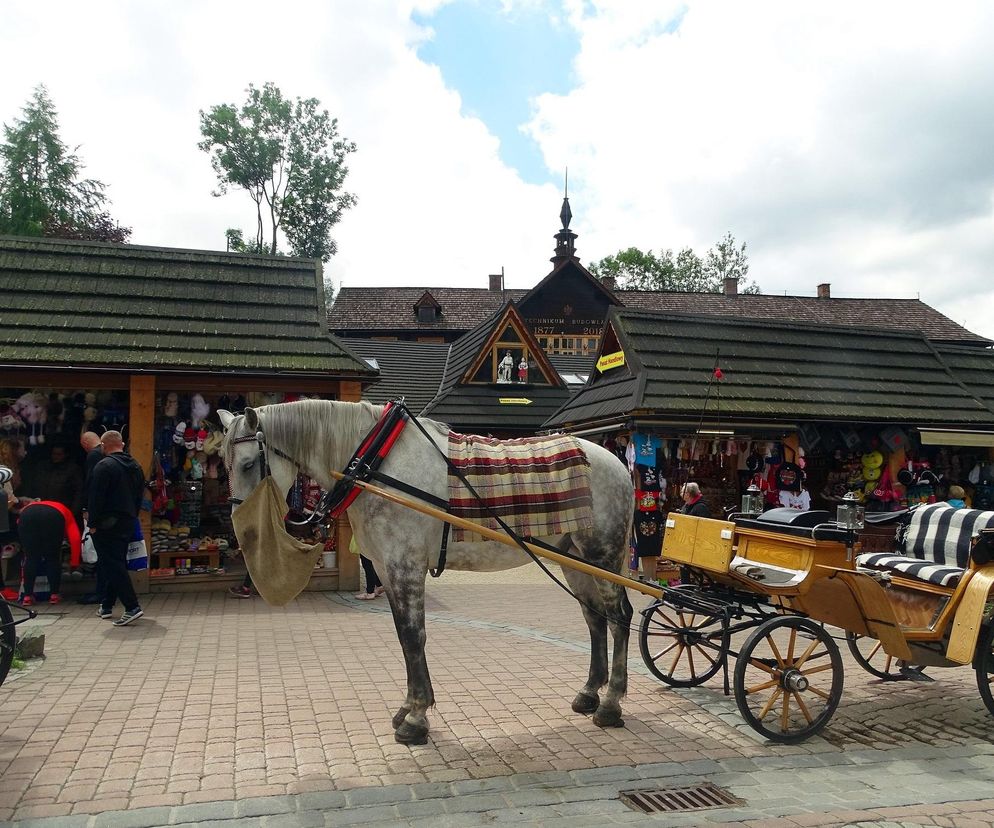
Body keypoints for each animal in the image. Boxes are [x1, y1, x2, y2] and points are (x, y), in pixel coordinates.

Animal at [221, 400, 632, 744]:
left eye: (247, 464)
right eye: (225, 464)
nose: (243, 532)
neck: (378, 465)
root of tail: (616, 462)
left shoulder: (405, 565)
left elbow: (413, 636)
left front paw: (416, 718)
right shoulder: (386, 569)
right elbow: (405, 638)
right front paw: (408, 708)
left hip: (603, 555)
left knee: (620, 617)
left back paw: (611, 703)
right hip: (573, 559)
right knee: (595, 619)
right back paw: (589, 693)